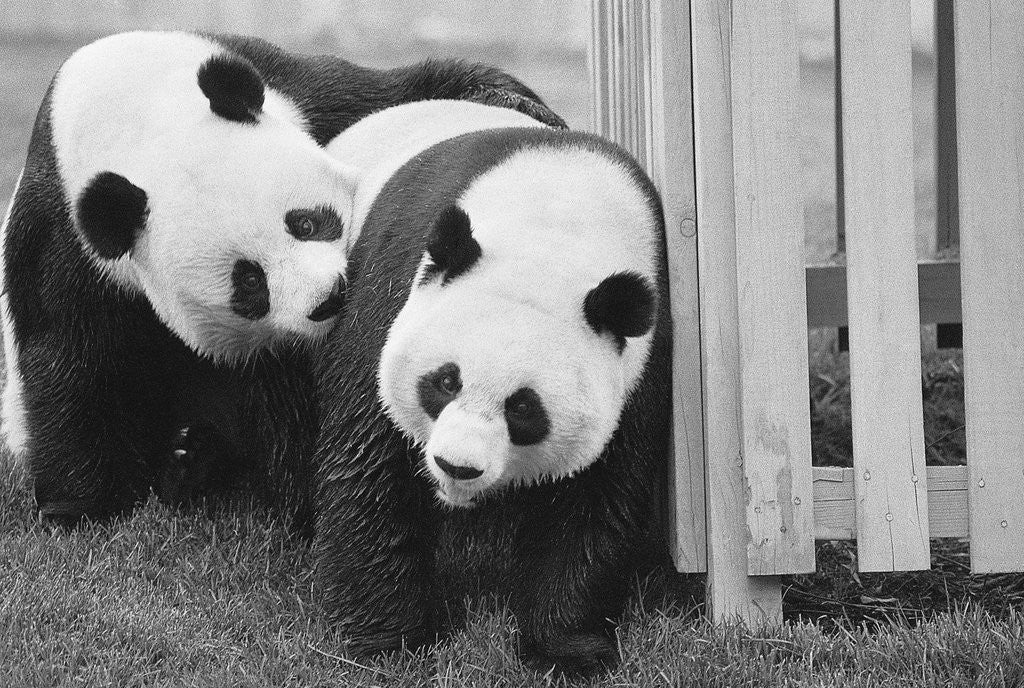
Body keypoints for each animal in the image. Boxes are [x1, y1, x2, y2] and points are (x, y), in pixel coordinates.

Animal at [313, 99, 671, 675]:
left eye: (523, 408)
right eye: (445, 380)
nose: (457, 466)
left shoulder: (641, 362)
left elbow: (596, 499)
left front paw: (568, 650)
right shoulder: (391, 290)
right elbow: (370, 463)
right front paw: (390, 643)